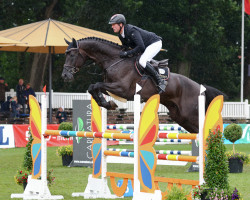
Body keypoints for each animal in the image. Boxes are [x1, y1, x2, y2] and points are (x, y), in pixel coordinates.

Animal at [62, 37, 225, 133]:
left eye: (72, 54)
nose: (65, 76)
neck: (114, 60)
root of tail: (200, 87)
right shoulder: (112, 88)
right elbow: (93, 87)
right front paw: (106, 103)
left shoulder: (122, 89)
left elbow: (96, 85)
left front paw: (108, 104)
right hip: (180, 116)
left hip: (189, 114)